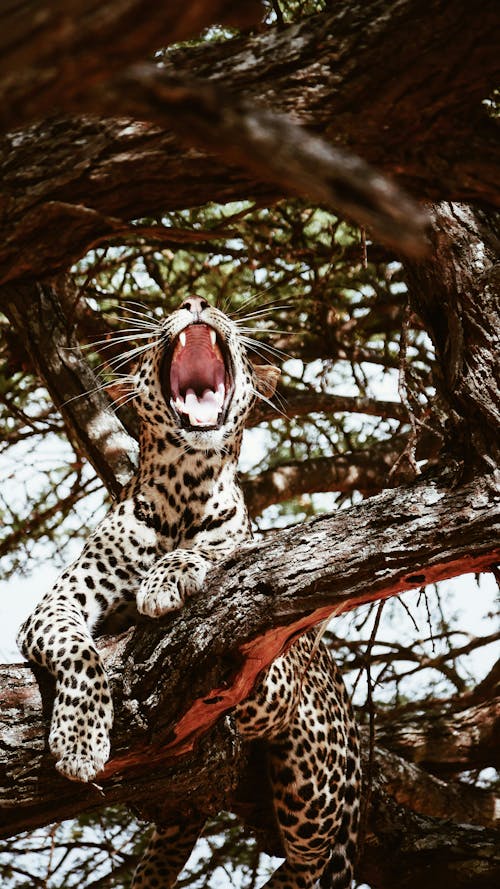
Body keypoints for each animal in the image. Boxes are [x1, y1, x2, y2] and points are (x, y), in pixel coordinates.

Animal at [16, 296, 360, 888]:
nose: (198, 302)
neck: (185, 486)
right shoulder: (55, 605)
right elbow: (80, 653)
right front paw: (80, 742)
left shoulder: (272, 671)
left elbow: (220, 553)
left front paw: (167, 577)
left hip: (314, 778)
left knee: (307, 866)